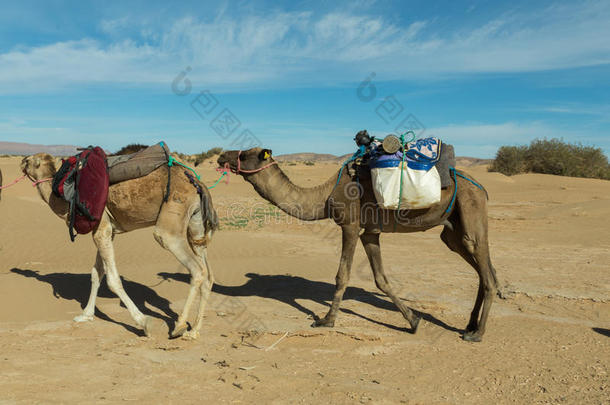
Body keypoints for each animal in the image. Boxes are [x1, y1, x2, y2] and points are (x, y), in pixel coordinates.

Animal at [20, 152, 216, 338]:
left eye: (29, 160)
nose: (21, 161)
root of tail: (198, 185)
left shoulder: (102, 228)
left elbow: (112, 280)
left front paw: (144, 322)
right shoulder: (107, 231)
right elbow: (96, 273)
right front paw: (86, 315)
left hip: (172, 220)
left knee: (196, 269)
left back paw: (179, 326)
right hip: (196, 226)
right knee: (207, 274)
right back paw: (194, 331)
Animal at [218, 147, 498, 340]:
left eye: (246, 153)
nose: (221, 157)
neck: (325, 196)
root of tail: (482, 187)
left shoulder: (350, 226)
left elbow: (342, 275)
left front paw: (327, 320)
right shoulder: (370, 233)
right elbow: (381, 279)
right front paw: (413, 320)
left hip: (470, 208)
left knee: (487, 272)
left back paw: (477, 333)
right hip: (452, 230)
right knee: (481, 269)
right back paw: (469, 324)